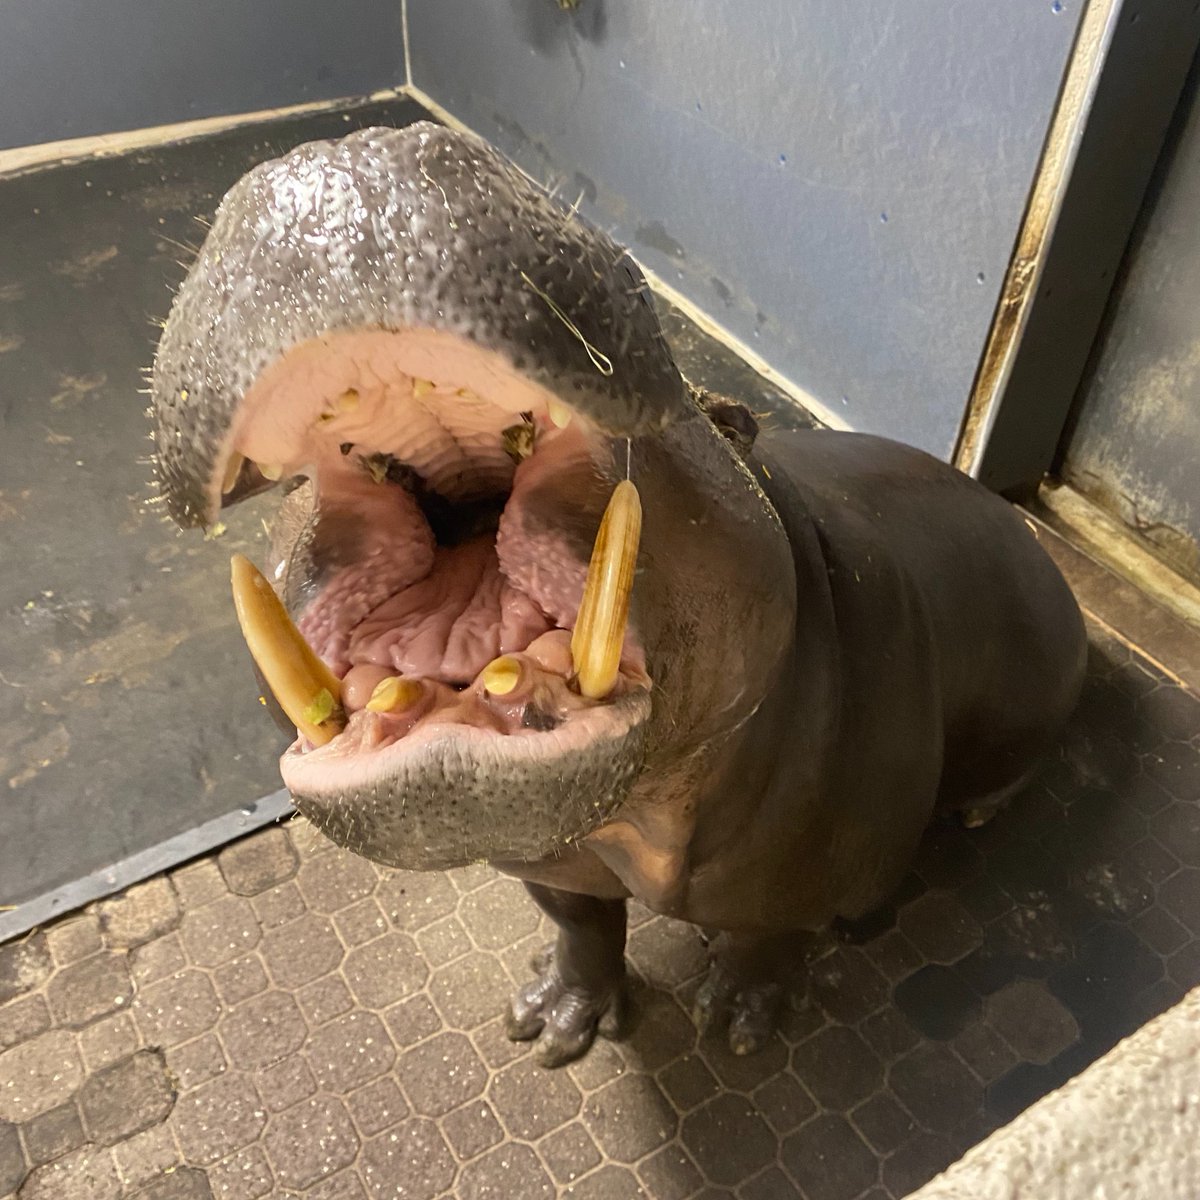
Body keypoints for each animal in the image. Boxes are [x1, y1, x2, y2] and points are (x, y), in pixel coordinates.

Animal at [150, 122, 1087, 1066]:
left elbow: (768, 935)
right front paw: (553, 1019)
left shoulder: (807, 876)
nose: (356, 155)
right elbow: (582, 925)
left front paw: (738, 1022)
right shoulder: (551, 864)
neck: (628, 826)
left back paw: (975, 815)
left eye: (732, 421)